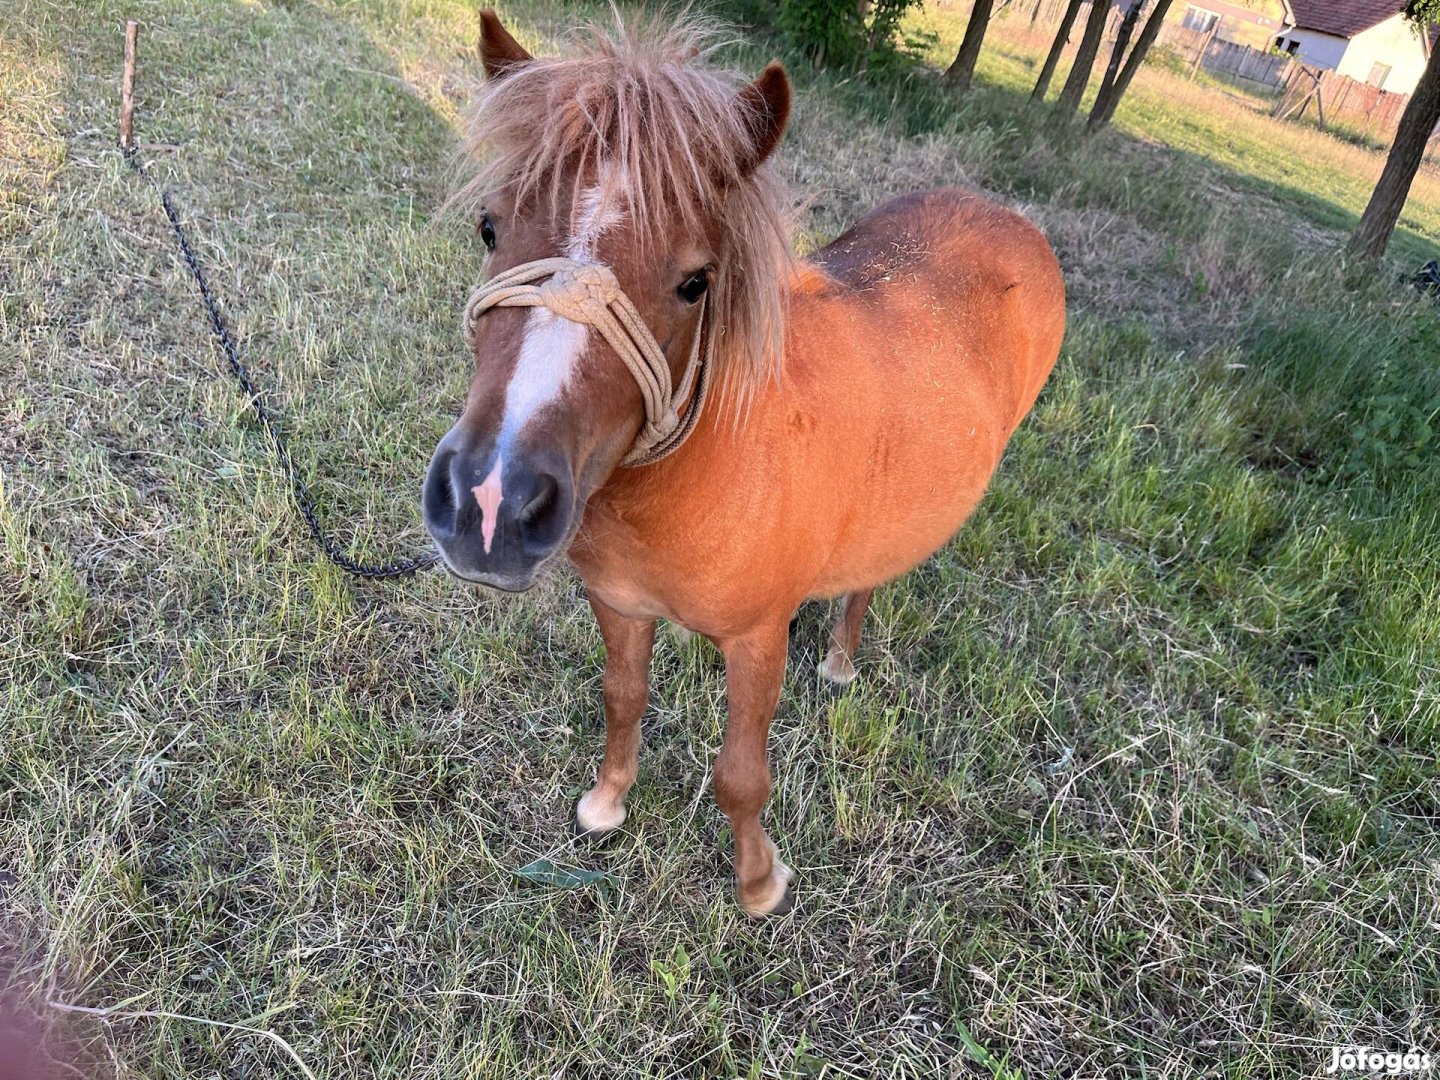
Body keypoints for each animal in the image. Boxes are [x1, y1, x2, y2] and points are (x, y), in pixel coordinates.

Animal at [420, 10, 1065, 921]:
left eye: (696, 281)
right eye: (489, 228)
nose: (488, 502)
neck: (700, 475)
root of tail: (1003, 214)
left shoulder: (757, 640)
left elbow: (740, 776)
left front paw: (759, 883)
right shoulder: (619, 604)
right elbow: (623, 699)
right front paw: (607, 803)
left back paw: (838, 662)